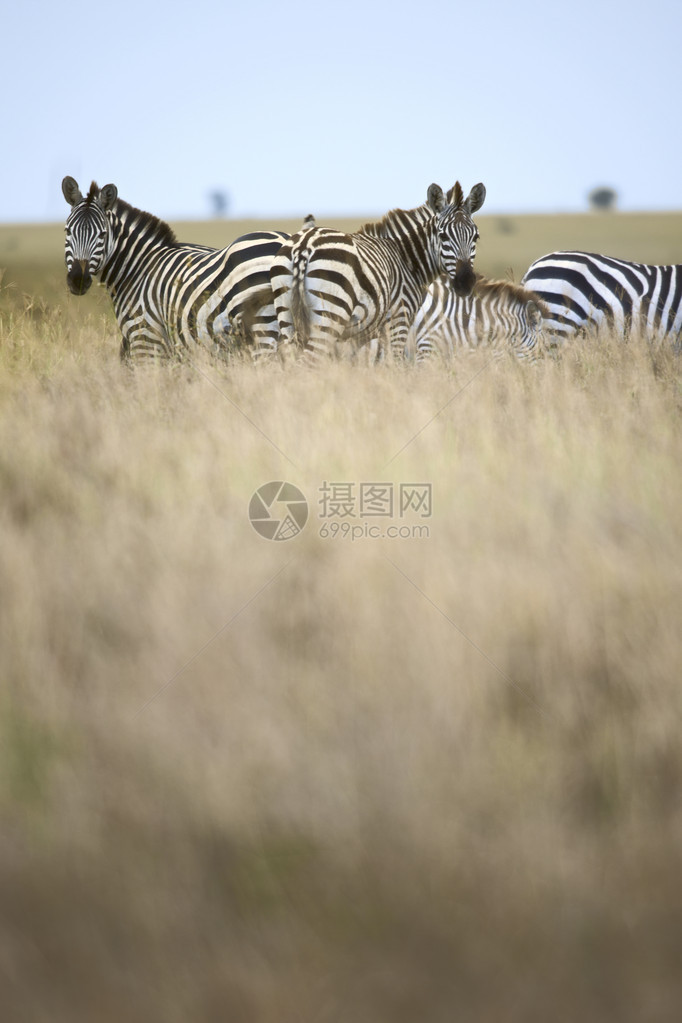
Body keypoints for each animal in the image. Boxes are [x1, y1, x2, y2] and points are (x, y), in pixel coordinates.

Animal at [60, 178, 290, 362]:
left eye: (102, 234)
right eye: (67, 231)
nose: (78, 279)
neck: (137, 269)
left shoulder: (145, 338)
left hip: (262, 330)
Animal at [265, 181, 484, 364]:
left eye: (476, 237)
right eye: (443, 235)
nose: (465, 282)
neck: (406, 259)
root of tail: (304, 245)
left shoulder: (364, 334)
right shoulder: (399, 321)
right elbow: (393, 365)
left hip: (287, 316)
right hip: (328, 317)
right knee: (308, 361)